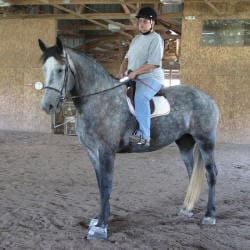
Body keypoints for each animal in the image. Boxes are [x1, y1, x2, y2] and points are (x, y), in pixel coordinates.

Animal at [38, 38, 219, 239]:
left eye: (61, 69)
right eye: (44, 69)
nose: (48, 105)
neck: (100, 99)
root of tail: (208, 99)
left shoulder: (107, 151)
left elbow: (106, 185)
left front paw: (101, 227)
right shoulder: (92, 152)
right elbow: (100, 185)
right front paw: (98, 220)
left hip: (205, 141)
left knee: (211, 174)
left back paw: (209, 215)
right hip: (185, 143)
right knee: (191, 172)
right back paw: (188, 209)